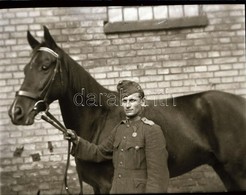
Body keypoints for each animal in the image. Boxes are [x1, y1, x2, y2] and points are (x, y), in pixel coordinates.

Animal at [8, 26, 245, 193]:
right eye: (25, 69)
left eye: (45, 66)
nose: (16, 112)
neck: (98, 121)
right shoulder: (96, 186)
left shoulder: (107, 184)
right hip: (224, 170)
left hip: (237, 171)